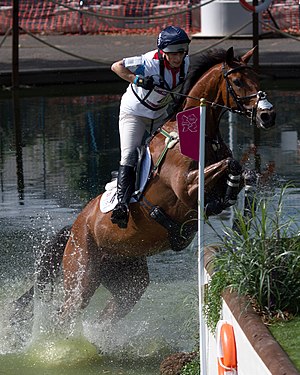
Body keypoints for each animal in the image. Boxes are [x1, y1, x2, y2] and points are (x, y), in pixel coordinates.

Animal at [14, 47, 276, 328]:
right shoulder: (185, 187)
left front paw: (242, 207)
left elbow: (241, 171)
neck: (197, 133)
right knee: (65, 315)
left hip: (128, 279)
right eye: (237, 81)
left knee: (105, 317)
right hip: (83, 276)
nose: (268, 115)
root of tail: (73, 228)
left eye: (257, 78)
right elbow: (230, 164)